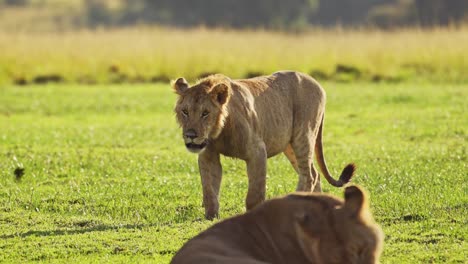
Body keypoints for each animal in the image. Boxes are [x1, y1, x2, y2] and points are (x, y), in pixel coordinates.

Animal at [173, 71, 354, 220]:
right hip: (289, 146)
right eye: (185, 112)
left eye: (205, 113)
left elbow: (255, 192)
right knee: (315, 173)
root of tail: (316, 82)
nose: (191, 135)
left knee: (308, 175)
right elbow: (209, 189)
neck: (219, 133)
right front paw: (211, 217)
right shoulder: (208, 155)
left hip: (303, 136)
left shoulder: (257, 151)